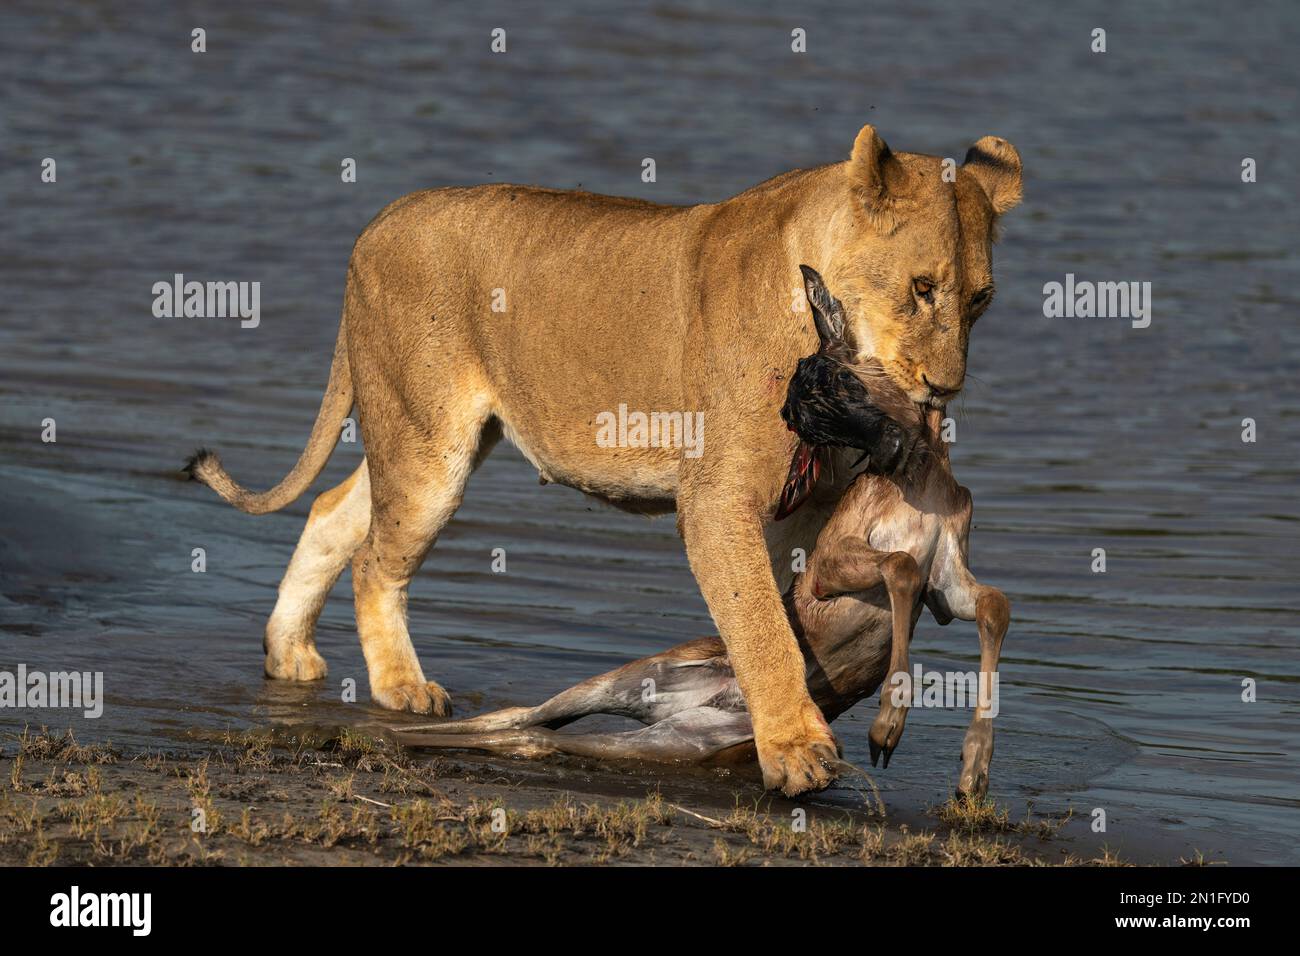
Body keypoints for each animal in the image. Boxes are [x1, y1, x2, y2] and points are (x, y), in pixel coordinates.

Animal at [390, 269, 1008, 801]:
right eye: (798, 405)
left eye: (835, 379)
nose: (888, 451)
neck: (922, 479)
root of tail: (719, 696)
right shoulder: (832, 569)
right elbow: (902, 565)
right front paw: (887, 727)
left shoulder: (947, 587)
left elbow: (991, 605)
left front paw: (973, 772)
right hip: (619, 683)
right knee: (525, 718)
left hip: (664, 739)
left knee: (532, 733)